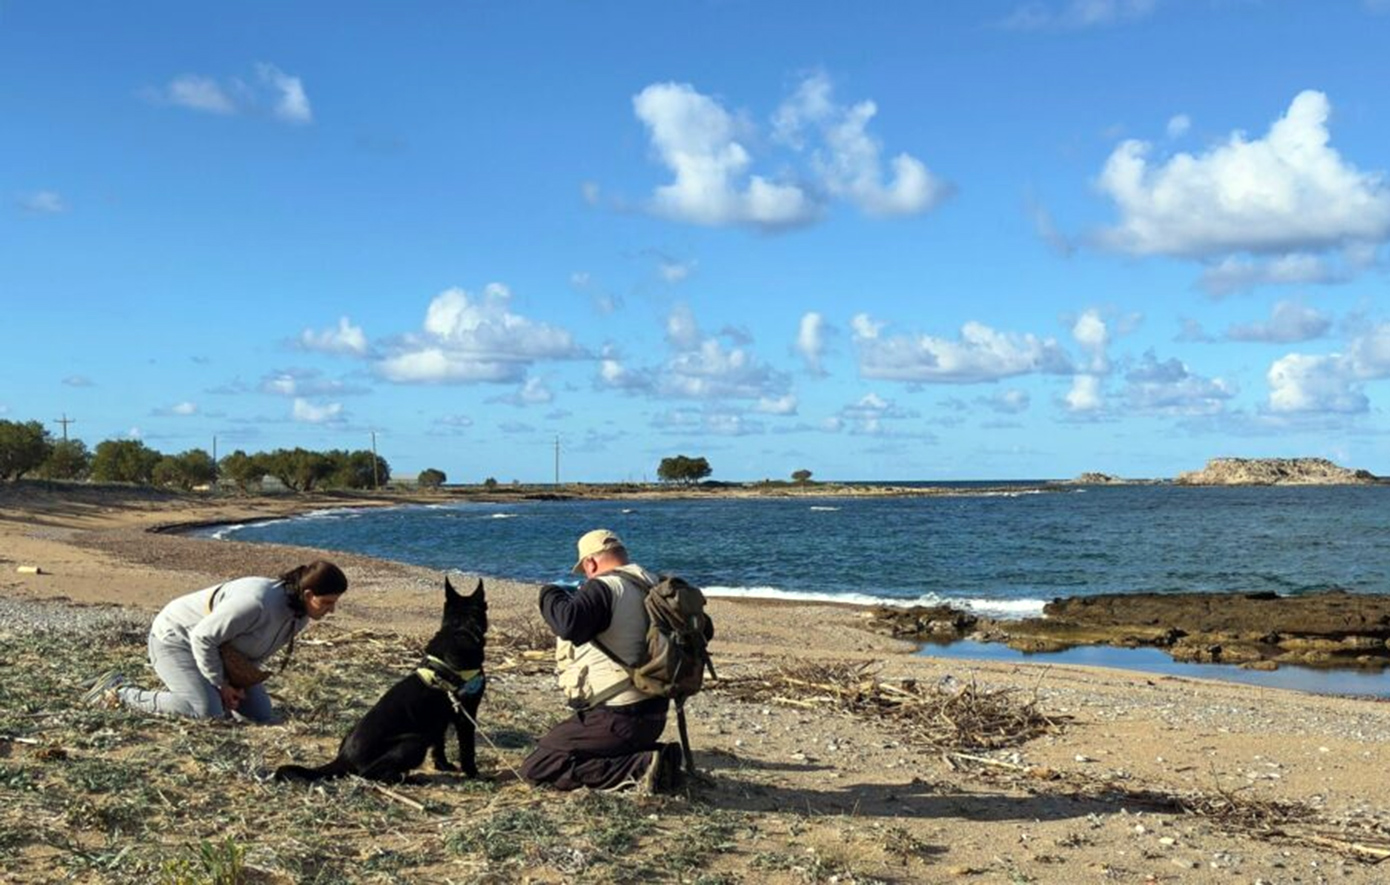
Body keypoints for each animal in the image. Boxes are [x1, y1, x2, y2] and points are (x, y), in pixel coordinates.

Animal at [273, 575, 486, 783]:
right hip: (414, 741)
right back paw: (408, 778)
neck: (460, 629)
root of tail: (345, 758)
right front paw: (474, 774)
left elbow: (439, 745)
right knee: (368, 773)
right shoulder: (465, 714)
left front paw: (443, 765)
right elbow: (468, 750)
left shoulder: (440, 718)